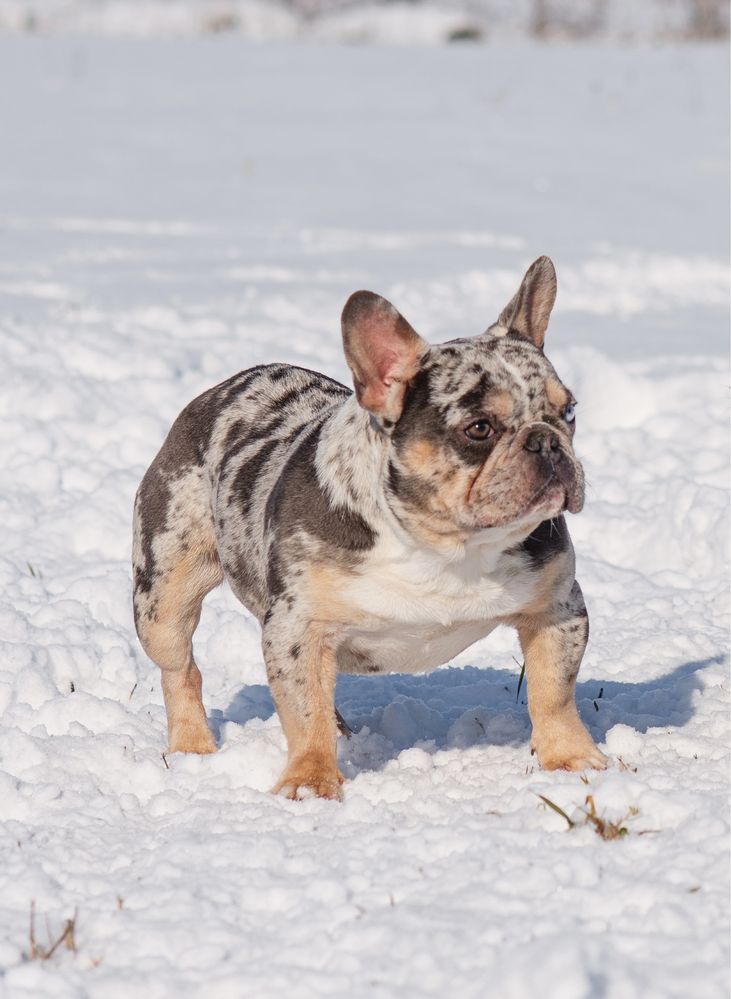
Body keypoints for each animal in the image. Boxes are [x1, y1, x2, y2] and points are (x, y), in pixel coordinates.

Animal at [134, 260, 608, 804]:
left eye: (569, 412)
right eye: (480, 428)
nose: (546, 441)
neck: (443, 544)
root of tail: (222, 389)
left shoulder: (557, 610)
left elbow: (554, 691)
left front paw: (571, 759)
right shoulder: (299, 628)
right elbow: (305, 710)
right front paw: (310, 781)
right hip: (165, 594)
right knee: (180, 667)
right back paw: (192, 747)